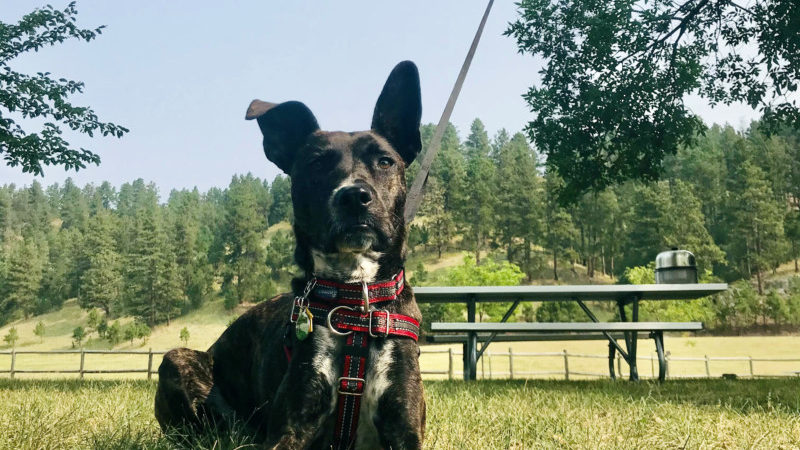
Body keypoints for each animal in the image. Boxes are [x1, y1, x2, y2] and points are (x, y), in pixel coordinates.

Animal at [155, 61, 424, 448]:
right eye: (316, 164)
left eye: (385, 161)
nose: (354, 196)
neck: (355, 301)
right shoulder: (290, 429)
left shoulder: (405, 429)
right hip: (178, 361)